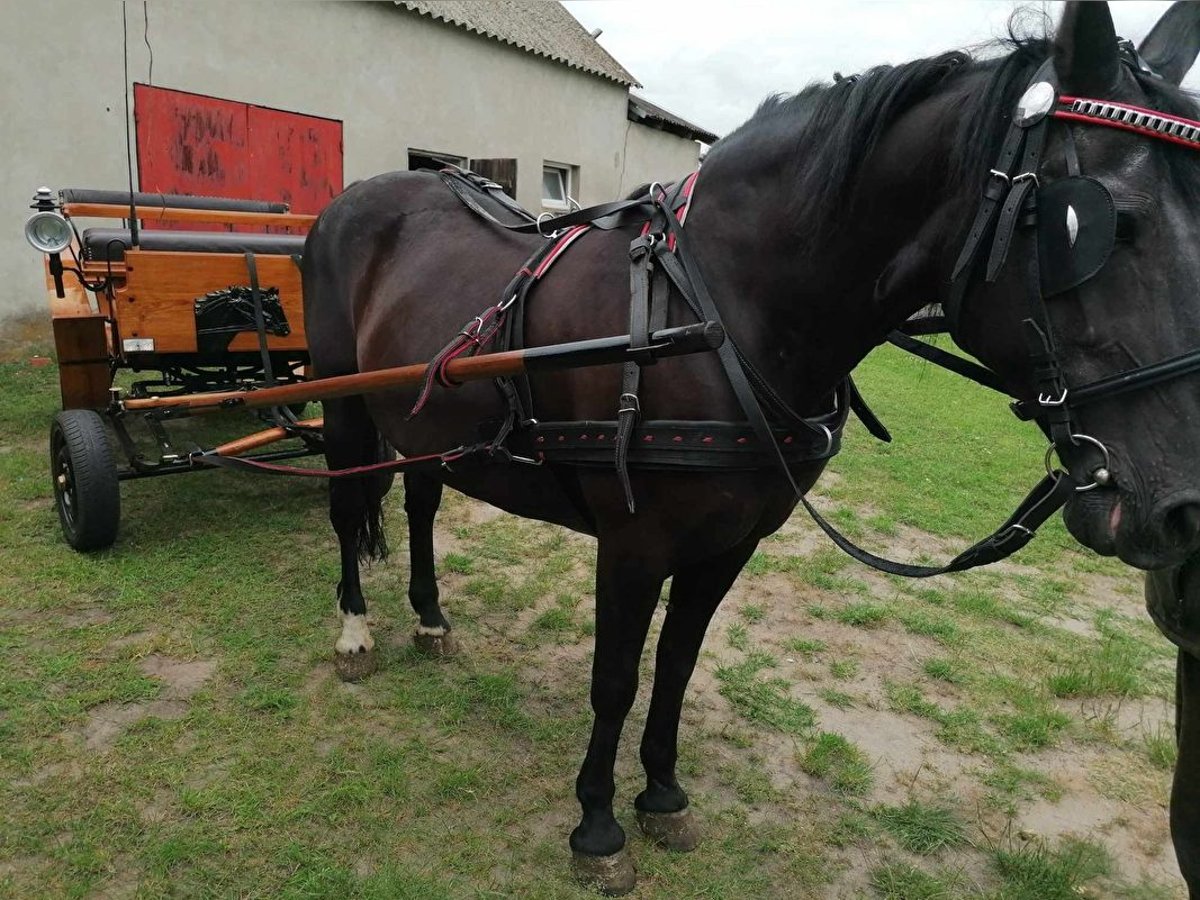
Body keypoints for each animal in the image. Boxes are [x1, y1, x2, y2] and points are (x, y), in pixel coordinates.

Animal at [302, 3, 1200, 897]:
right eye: (1093, 227)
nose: (1183, 512)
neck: (717, 315)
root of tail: (361, 196)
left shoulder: (730, 544)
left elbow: (676, 666)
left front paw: (662, 793)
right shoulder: (632, 546)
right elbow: (615, 680)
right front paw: (597, 826)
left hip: (427, 429)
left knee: (421, 504)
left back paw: (429, 617)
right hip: (344, 406)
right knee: (347, 509)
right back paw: (355, 634)